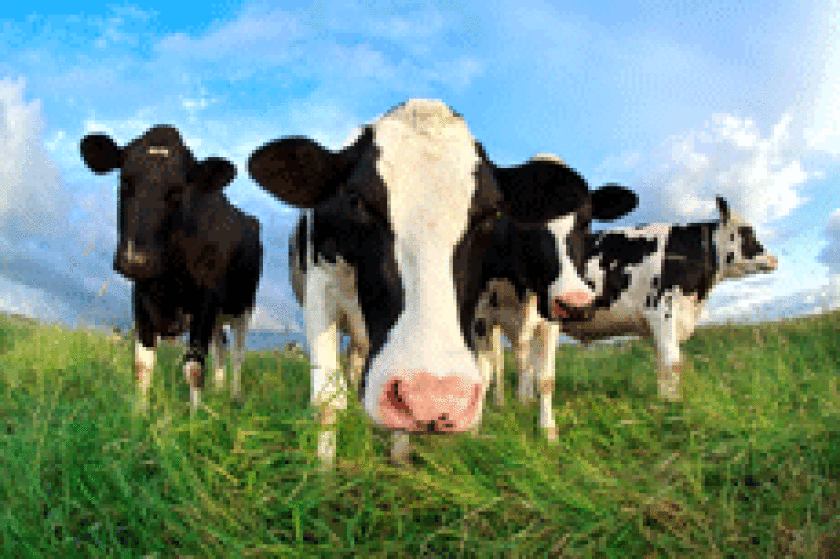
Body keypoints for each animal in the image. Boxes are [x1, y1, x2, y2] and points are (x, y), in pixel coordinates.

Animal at [79, 125, 263, 414]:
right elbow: (142, 364)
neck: (168, 279)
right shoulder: (141, 295)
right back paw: (218, 391)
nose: (135, 259)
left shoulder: (206, 298)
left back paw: (234, 397)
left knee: (238, 353)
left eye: (177, 191)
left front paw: (194, 418)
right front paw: (139, 413)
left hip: (243, 306)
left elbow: (194, 367)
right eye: (125, 182)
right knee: (221, 347)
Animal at [247, 99, 637, 466]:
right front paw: (324, 474)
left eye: (492, 213)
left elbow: (542, 378)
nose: (432, 398)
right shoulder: (320, 293)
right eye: (355, 200)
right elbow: (328, 399)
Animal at [473, 195, 778, 409]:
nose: (774, 259)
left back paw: (515, 404)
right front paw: (675, 405)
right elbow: (673, 362)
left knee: (512, 362)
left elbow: (661, 364)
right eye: (747, 232)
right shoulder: (662, 310)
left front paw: (664, 401)